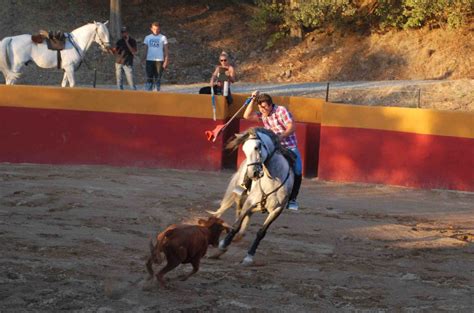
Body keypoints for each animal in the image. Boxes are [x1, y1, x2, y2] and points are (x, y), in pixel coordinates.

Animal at [209, 127, 294, 266]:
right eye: (244, 149)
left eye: (257, 147)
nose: (252, 173)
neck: (272, 179)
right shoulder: (249, 202)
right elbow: (236, 225)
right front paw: (221, 247)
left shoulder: (277, 210)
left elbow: (261, 232)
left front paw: (249, 257)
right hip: (241, 196)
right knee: (239, 213)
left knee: (247, 218)